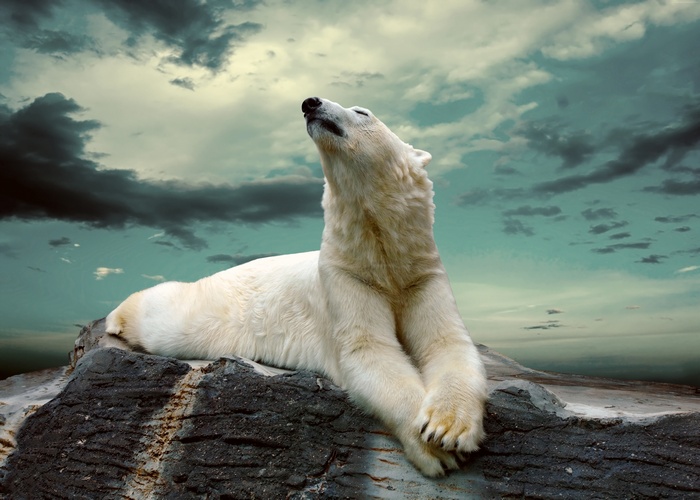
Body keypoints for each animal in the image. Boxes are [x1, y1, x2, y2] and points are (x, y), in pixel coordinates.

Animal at [105, 97, 487, 477]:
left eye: (362, 112)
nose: (310, 103)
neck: (381, 254)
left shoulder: (421, 274)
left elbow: (447, 342)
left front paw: (447, 427)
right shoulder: (345, 277)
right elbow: (369, 350)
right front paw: (434, 448)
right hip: (212, 309)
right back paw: (116, 318)